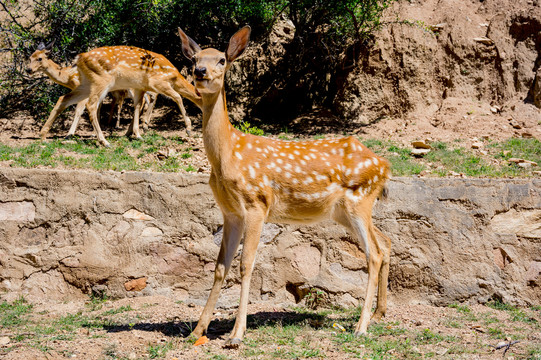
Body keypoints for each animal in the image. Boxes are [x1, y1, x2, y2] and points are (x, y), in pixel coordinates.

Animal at [38, 44, 201, 146]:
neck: (174, 76)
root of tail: (79, 58)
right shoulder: (158, 82)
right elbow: (178, 97)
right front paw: (188, 129)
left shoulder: (140, 88)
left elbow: (137, 106)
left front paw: (137, 134)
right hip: (101, 81)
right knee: (91, 105)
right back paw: (103, 141)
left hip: (86, 84)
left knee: (64, 99)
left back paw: (44, 135)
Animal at [178, 26, 392, 348]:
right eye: (194, 59)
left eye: (221, 60)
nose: (200, 72)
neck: (228, 156)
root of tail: (385, 166)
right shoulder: (230, 213)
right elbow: (219, 268)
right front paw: (197, 331)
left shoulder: (256, 203)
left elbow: (246, 265)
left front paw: (236, 335)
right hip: (344, 211)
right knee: (386, 242)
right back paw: (379, 315)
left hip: (359, 200)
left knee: (374, 254)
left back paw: (361, 326)